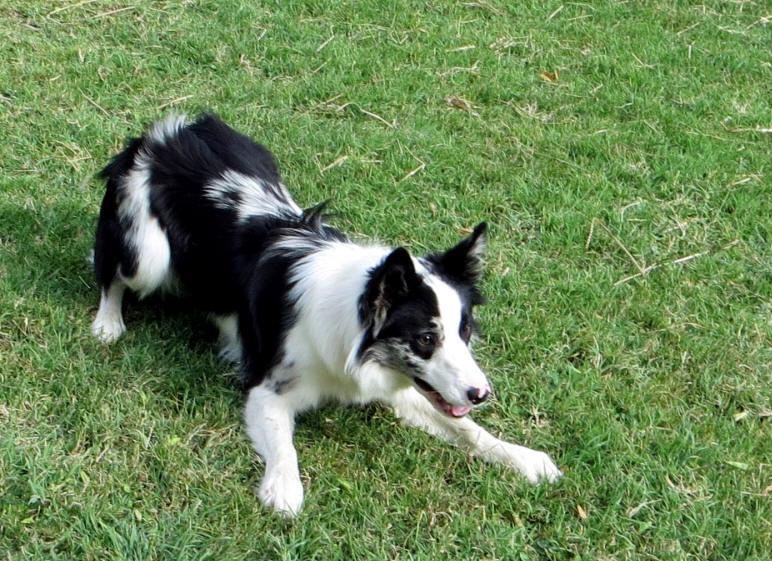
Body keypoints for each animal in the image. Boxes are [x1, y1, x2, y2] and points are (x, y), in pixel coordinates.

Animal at [92, 114, 560, 516]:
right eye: (426, 339)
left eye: (465, 334)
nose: (482, 394)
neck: (349, 327)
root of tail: (167, 132)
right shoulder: (268, 390)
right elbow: (285, 446)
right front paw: (284, 489)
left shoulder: (404, 389)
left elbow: (467, 430)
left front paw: (524, 458)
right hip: (147, 256)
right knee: (110, 270)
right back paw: (108, 323)